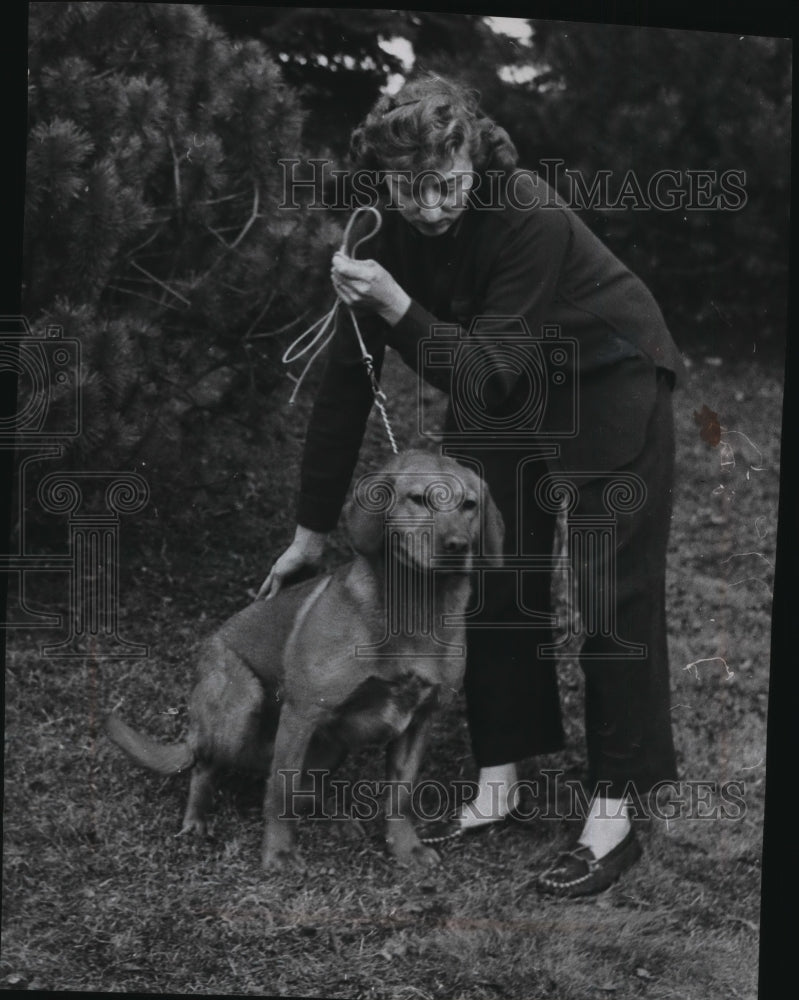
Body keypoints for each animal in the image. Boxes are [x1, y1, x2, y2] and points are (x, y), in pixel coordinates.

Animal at [104, 450, 504, 872]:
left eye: (469, 505)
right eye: (419, 499)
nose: (458, 545)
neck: (416, 610)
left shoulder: (420, 721)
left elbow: (400, 795)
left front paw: (404, 847)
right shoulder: (303, 713)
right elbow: (280, 792)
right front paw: (279, 853)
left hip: (331, 745)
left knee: (307, 787)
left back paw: (336, 819)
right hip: (240, 709)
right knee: (207, 766)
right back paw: (196, 819)